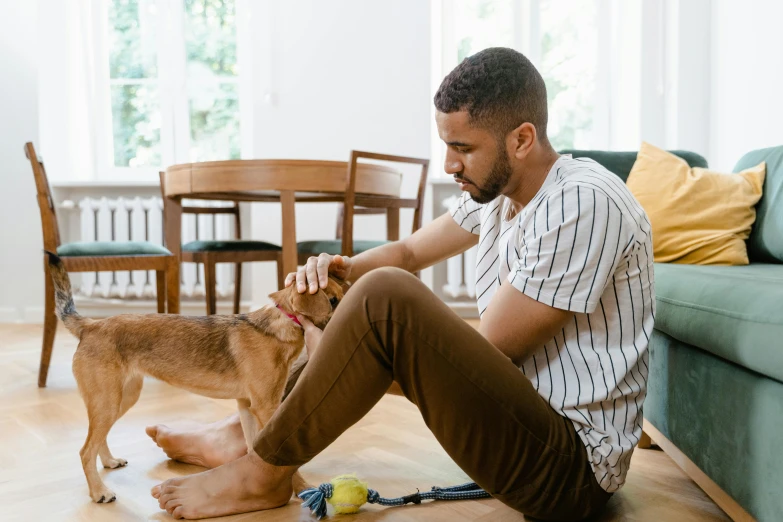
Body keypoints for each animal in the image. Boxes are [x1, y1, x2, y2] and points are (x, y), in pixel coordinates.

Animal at [46, 252, 344, 504]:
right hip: (108, 401)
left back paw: (108, 462)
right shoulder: (266, 406)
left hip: (121, 398)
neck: (281, 322)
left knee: (98, 438)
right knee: (85, 450)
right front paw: (301, 487)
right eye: (332, 301)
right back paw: (99, 492)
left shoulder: (247, 406)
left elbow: (254, 448)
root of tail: (91, 326)